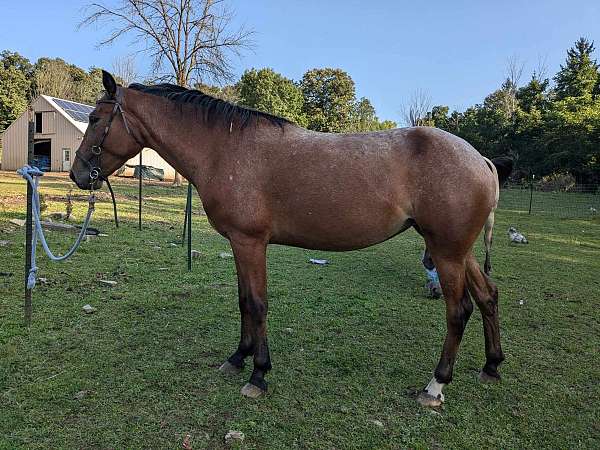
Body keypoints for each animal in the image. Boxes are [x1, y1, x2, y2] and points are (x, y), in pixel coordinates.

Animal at [71, 71, 506, 408]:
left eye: (95, 118)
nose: (77, 174)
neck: (226, 149)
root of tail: (481, 159)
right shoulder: (238, 244)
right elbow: (243, 301)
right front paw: (238, 358)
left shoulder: (250, 243)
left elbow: (257, 304)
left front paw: (258, 375)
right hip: (458, 251)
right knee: (488, 296)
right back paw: (491, 365)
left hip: (446, 252)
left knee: (459, 311)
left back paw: (435, 386)